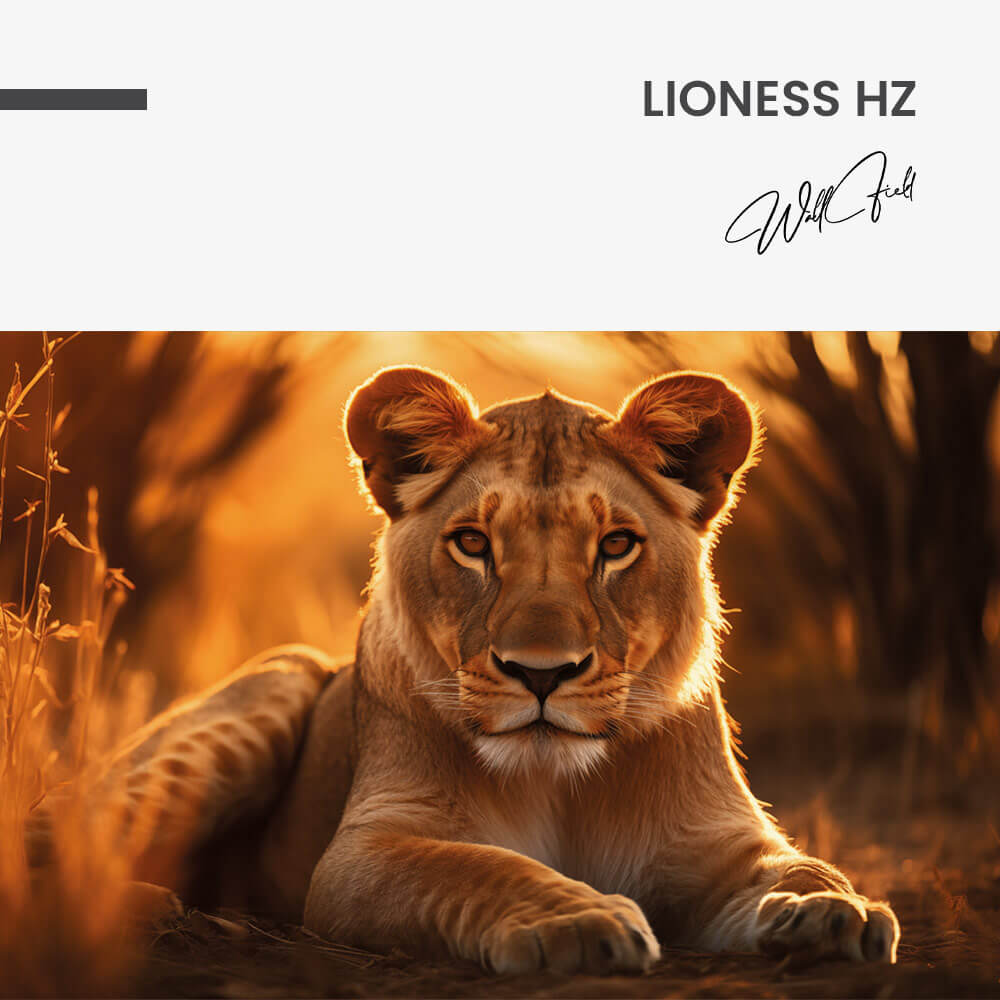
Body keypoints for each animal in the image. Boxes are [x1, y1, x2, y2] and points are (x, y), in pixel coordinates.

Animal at [29, 366, 900, 974]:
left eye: (616, 545)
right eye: (473, 544)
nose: (541, 673)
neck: (562, 784)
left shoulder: (720, 847)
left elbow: (809, 864)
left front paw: (836, 911)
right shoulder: (365, 852)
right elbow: (481, 867)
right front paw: (572, 919)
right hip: (272, 688)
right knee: (66, 835)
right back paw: (158, 909)